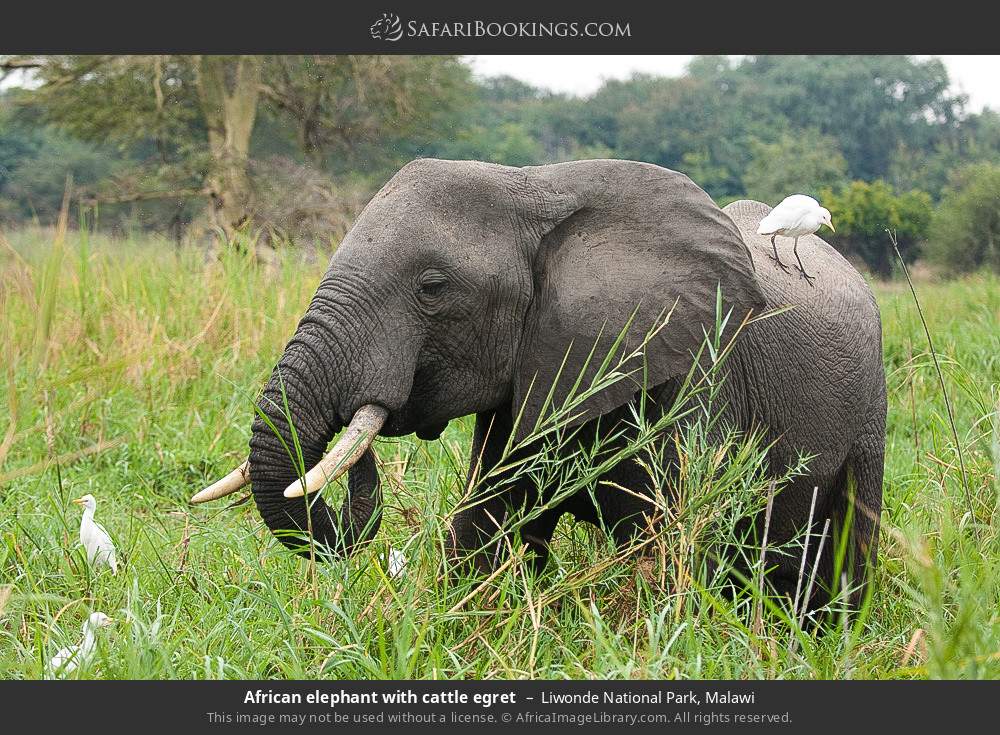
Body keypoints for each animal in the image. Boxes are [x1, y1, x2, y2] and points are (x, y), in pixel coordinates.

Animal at [193, 158, 886, 612]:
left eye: (432, 288)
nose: (355, 442)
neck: (536, 186)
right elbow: (484, 528)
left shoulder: (687, 379)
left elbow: (672, 545)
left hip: (871, 408)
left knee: (848, 542)